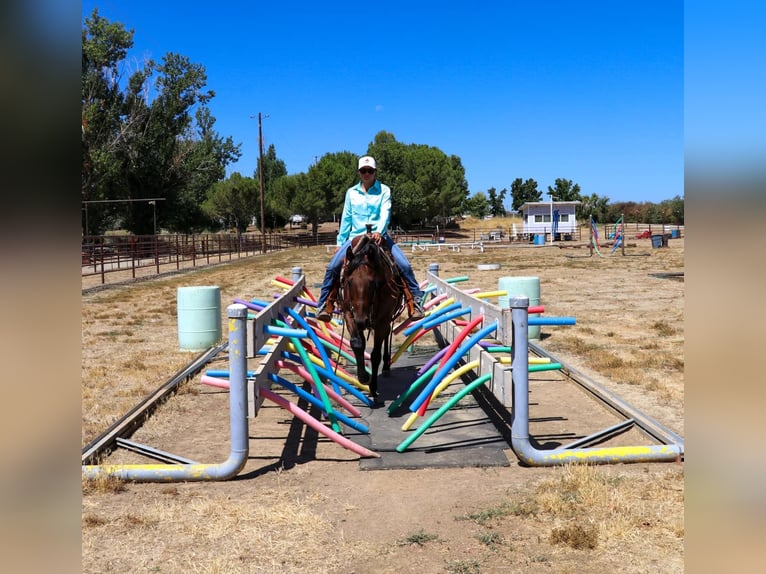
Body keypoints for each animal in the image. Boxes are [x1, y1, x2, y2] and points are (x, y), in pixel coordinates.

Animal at [339, 232, 404, 401]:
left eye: (374, 283)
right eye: (349, 282)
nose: (362, 321)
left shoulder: (382, 320)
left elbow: (375, 355)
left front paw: (373, 387)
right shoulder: (349, 314)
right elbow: (357, 343)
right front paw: (363, 377)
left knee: (386, 336)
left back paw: (386, 366)